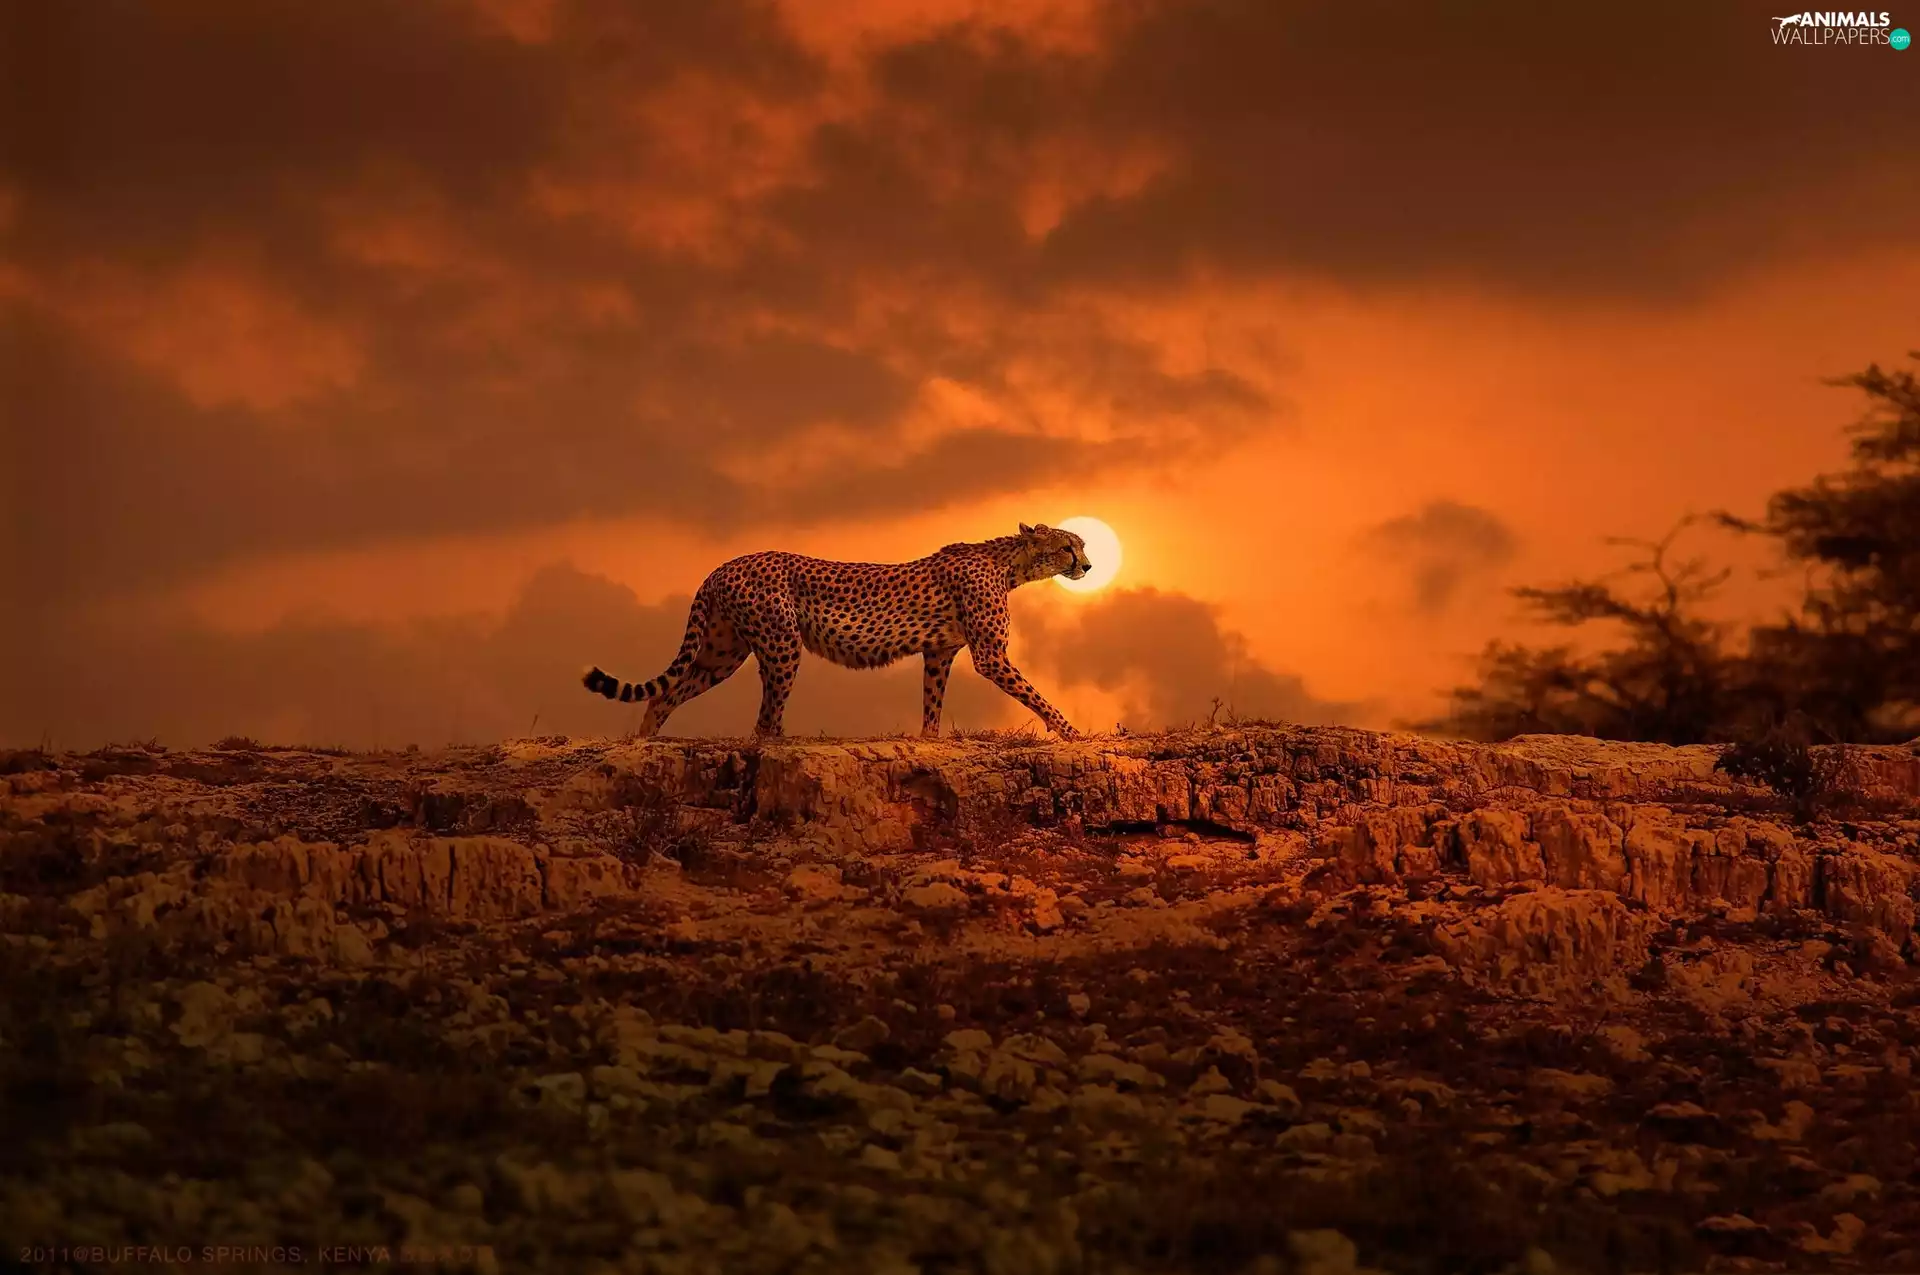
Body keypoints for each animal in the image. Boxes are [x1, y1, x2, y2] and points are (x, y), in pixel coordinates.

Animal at [582, 522, 1091, 739]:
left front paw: (929, 739)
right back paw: (782, 741)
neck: (1010, 564)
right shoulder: (990, 656)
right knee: (763, 720)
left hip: (722, 654)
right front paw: (1070, 731)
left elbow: (932, 701)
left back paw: (643, 743)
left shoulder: (939, 653)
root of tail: (724, 565)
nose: (1087, 565)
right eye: (1069, 546)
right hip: (781, 644)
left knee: (665, 694)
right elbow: (1035, 694)